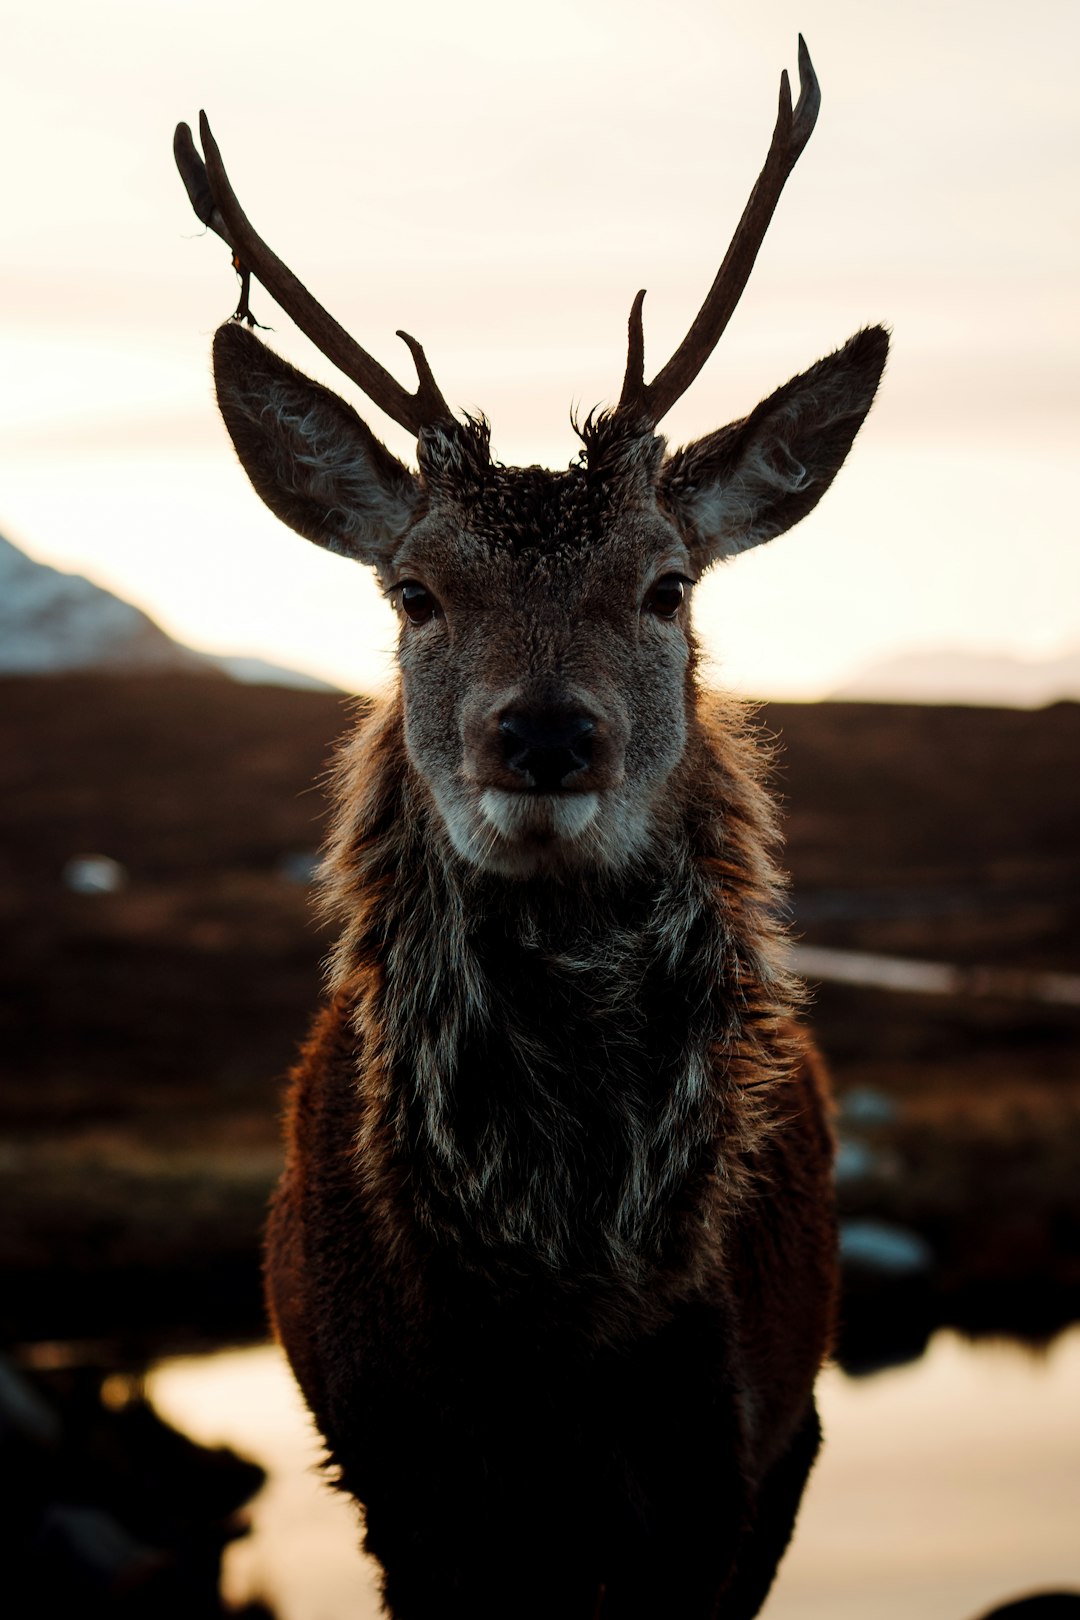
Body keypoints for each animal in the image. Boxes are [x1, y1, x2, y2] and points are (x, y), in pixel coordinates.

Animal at [175, 38, 887, 1620]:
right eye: (416, 592)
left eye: (668, 585)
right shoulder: (400, 1472)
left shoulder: (747, 1461)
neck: (567, 1321)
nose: (548, 734)